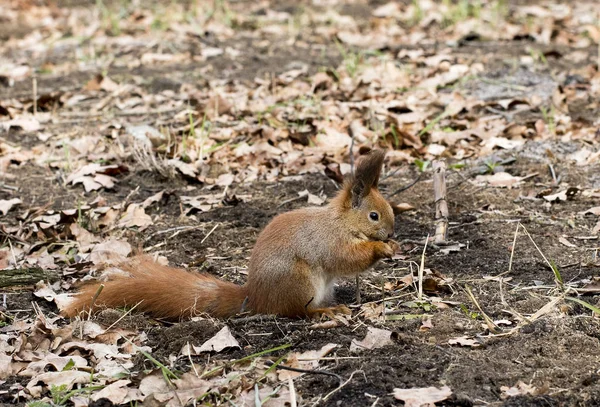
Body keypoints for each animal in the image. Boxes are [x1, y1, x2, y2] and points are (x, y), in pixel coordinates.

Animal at [64, 150, 398, 322]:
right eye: (374, 215)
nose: (392, 232)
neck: (342, 221)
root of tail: (256, 297)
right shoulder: (329, 240)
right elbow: (345, 257)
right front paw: (381, 249)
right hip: (298, 282)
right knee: (294, 311)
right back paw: (327, 311)